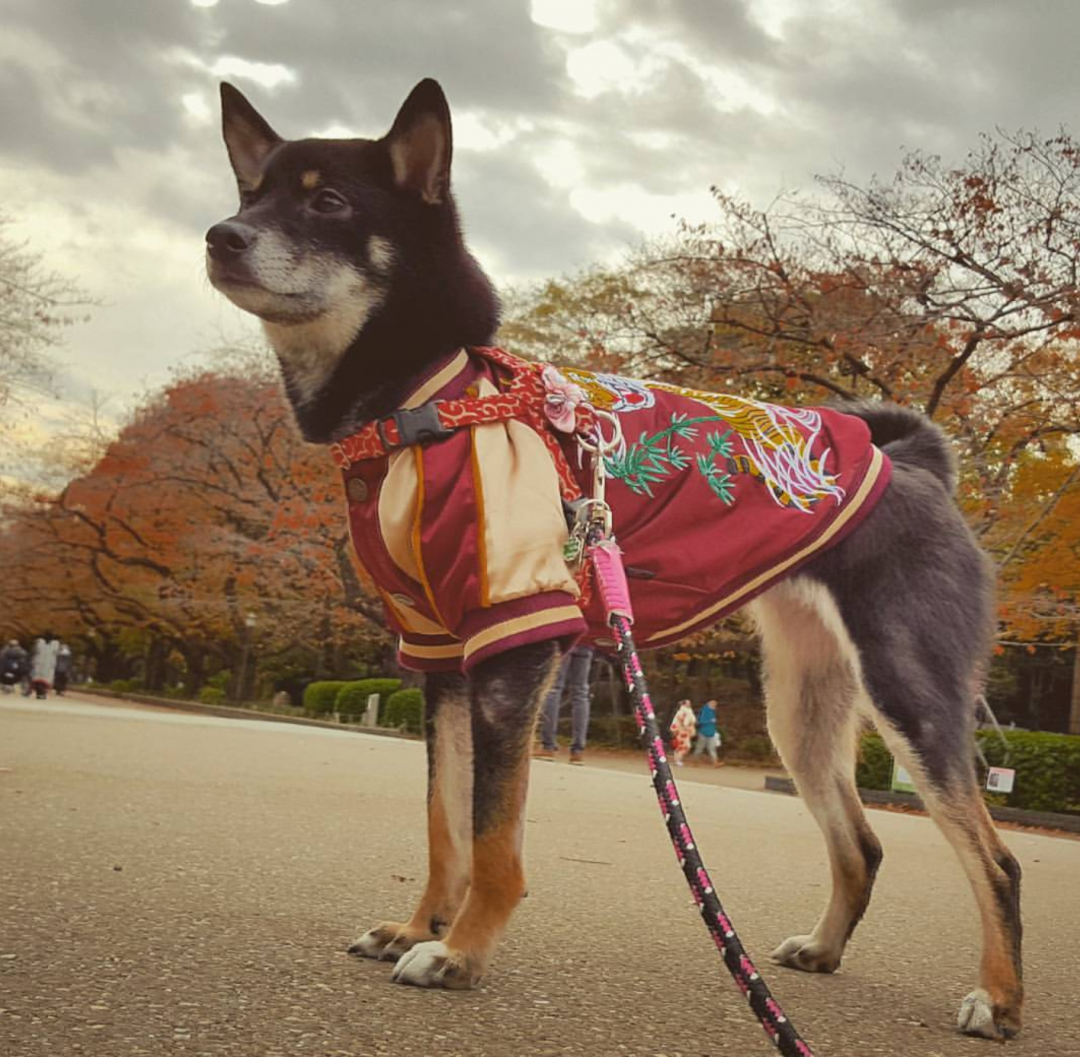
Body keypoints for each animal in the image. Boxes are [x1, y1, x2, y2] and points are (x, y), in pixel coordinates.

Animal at [206, 78, 1023, 1036]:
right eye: (251, 193)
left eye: (327, 201)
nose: (222, 234)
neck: (428, 400)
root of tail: (915, 463)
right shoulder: (441, 656)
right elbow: (445, 824)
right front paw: (420, 924)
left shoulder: (514, 644)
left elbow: (492, 836)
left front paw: (459, 950)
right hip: (802, 706)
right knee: (860, 841)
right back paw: (823, 949)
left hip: (911, 690)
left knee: (996, 861)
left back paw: (999, 998)